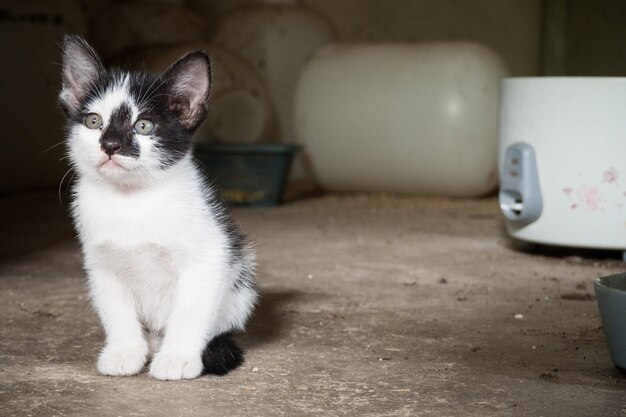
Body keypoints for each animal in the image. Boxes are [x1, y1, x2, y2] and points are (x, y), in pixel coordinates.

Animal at [56, 36, 256, 380]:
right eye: (93, 121)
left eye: (144, 126)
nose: (110, 145)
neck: (132, 201)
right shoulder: (101, 264)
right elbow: (116, 309)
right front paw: (125, 351)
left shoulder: (210, 256)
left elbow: (190, 310)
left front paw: (177, 357)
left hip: (240, 286)